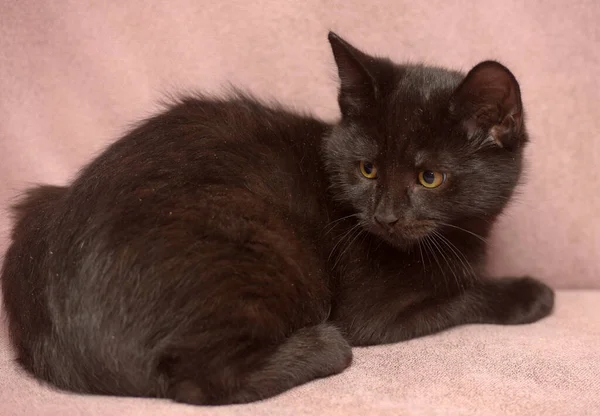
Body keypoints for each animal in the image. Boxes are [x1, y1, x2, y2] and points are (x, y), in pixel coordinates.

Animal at [1, 33, 552, 406]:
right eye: (368, 169)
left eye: (429, 177)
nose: (385, 217)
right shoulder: (373, 314)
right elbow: (461, 297)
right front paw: (529, 294)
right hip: (267, 243)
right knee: (196, 381)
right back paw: (322, 348)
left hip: (37, 206)